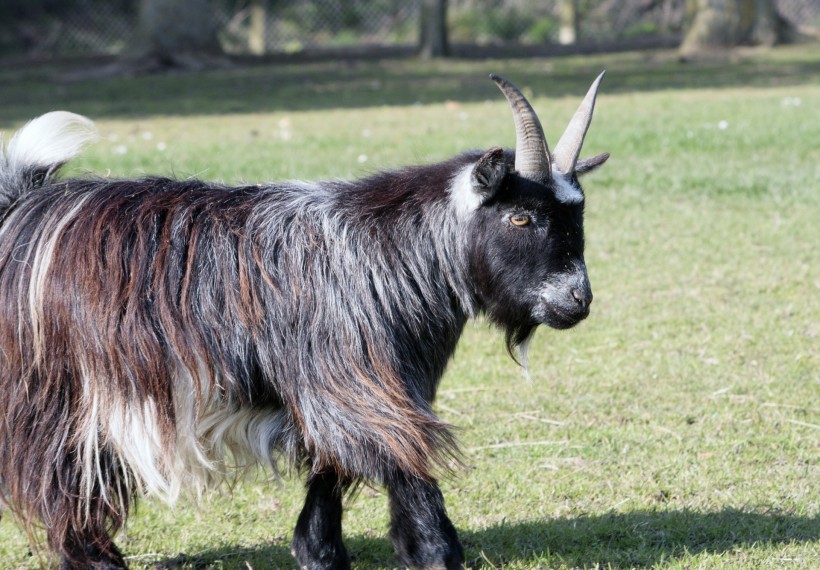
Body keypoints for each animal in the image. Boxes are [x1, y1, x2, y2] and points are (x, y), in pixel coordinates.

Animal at [0, 75, 604, 568]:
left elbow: (331, 475)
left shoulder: (346, 388)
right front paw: (435, 552)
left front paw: (317, 552)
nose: (577, 299)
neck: (387, 253)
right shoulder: (355, 386)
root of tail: (24, 209)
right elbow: (404, 472)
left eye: (578, 215)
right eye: (519, 216)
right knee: (60, 480)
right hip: (61, 393)